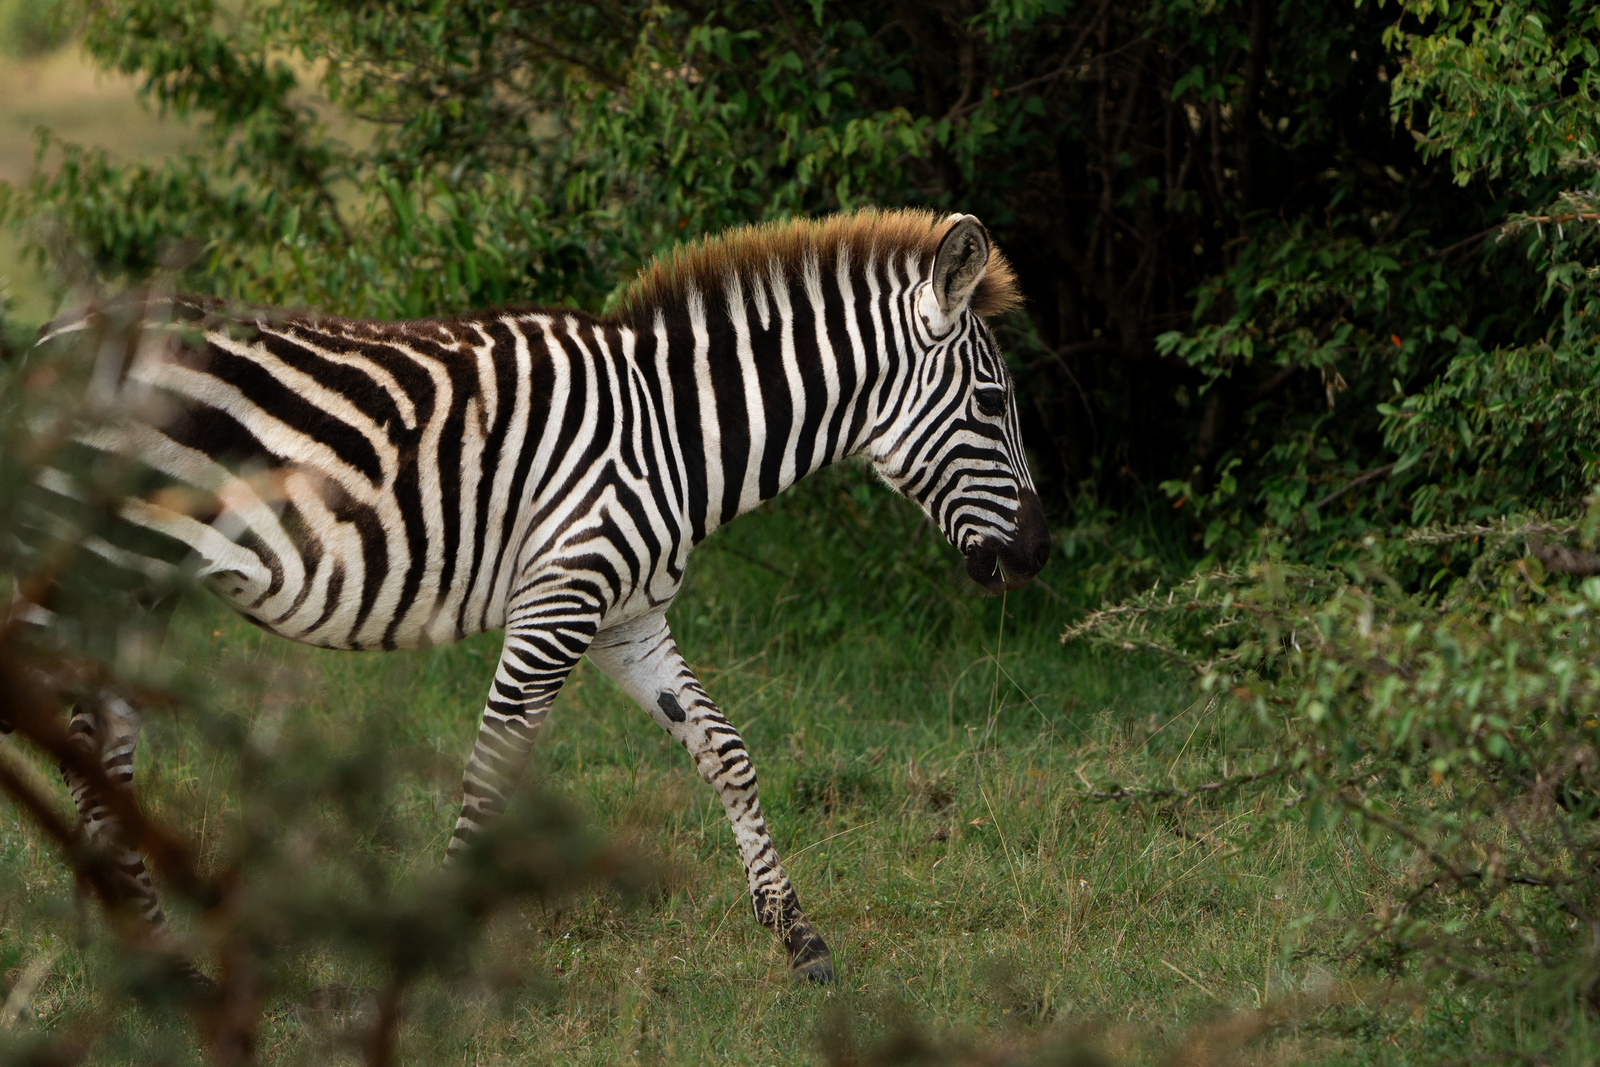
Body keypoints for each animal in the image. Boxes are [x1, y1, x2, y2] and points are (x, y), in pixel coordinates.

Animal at [12, 209, 1050, 982]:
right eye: (995, 405)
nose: (1037, 554)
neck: (675, 432)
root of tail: (49, 342)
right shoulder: (560, 602)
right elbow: (491, 770)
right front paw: (438, 948)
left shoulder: (628, 618)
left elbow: (727, 753)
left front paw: (799, 939)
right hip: (91, 566)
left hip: (131, 588)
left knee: (99, 750)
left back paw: (140, 949)